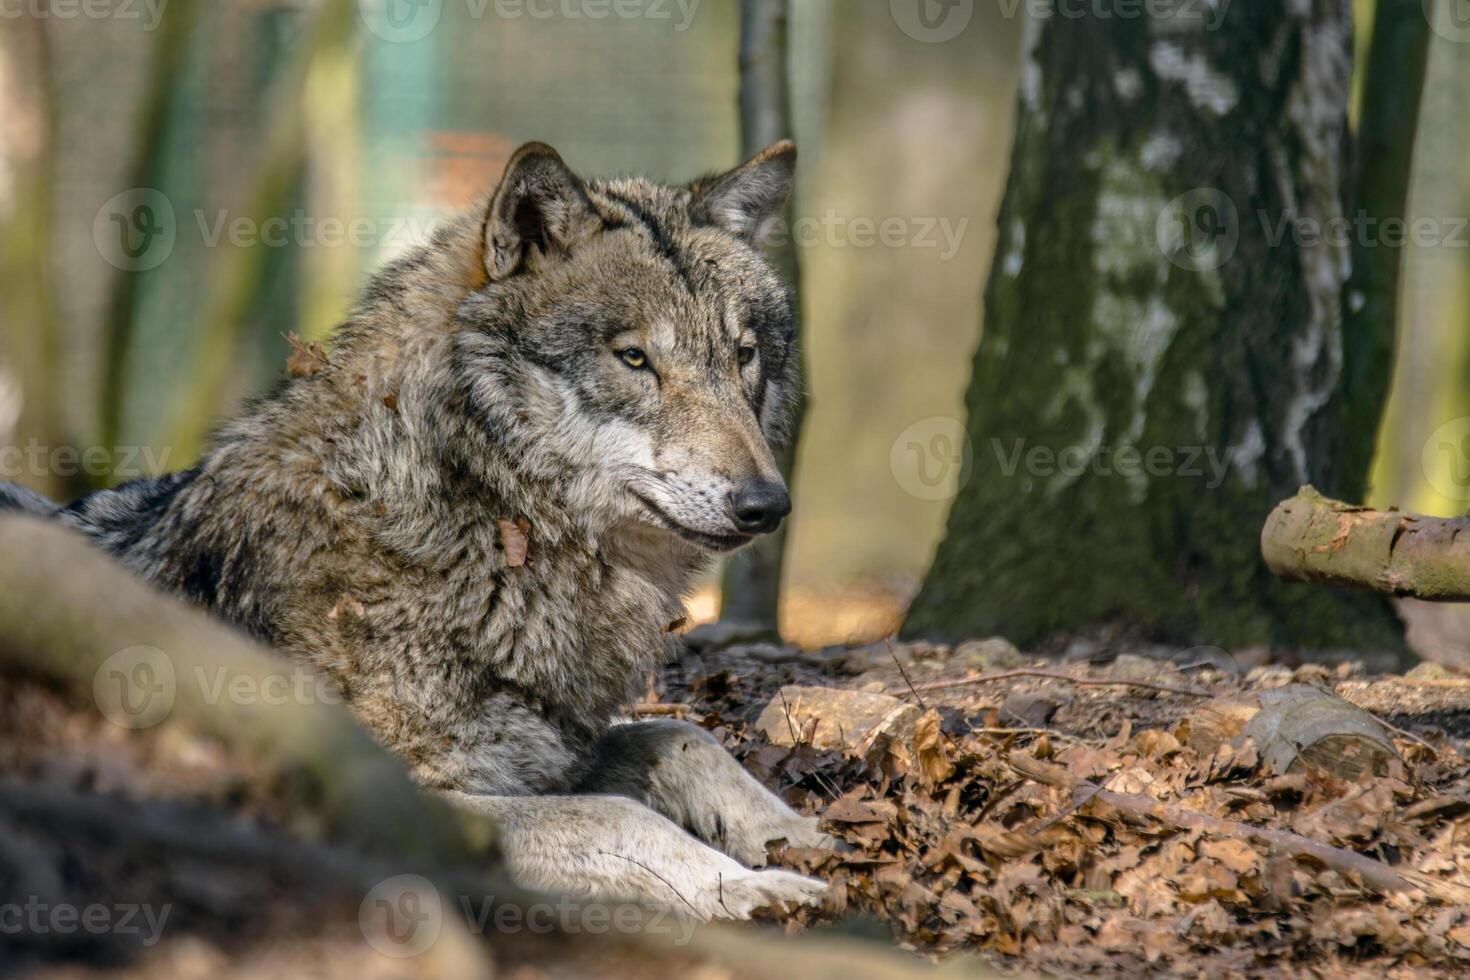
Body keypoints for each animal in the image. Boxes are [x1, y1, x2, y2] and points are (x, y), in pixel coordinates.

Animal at [0, 139, 829, 922]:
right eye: (633, 358)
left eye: (743, 356)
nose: (766, 504)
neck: (470, 512)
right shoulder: (411, 797)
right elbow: (619, 816)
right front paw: (752, 889)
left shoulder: (543, 750)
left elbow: (688, 740)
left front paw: (809, 839)